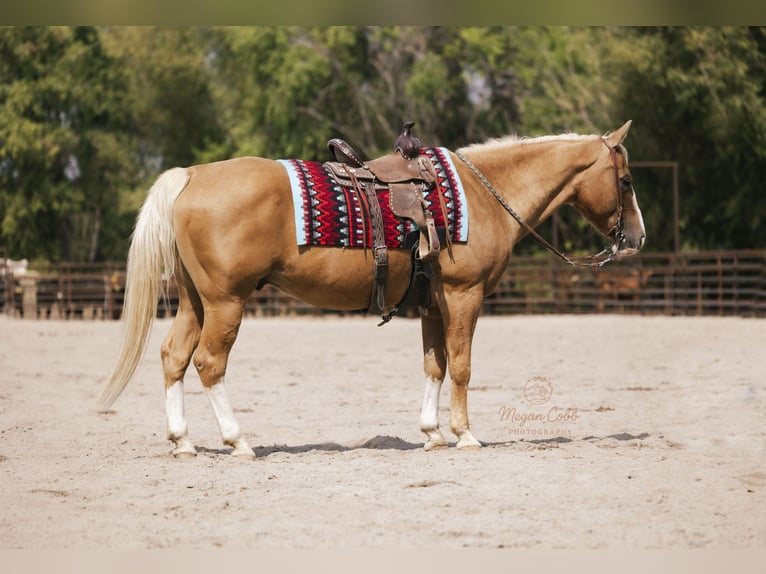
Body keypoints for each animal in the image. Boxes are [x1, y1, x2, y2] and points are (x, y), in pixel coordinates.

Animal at [98, 120, 645, 460]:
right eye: (625, 180)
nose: (637, 238)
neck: (484, 194)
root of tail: (191, 176)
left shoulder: (433, 304)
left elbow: (434, 364)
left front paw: (431, 434)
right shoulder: (464, 296)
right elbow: (462, 366)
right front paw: (465, 434)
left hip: (195, 300)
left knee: (173, 357)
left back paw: (183, 441)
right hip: (226, 302)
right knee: (210, 363)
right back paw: (238, 442)